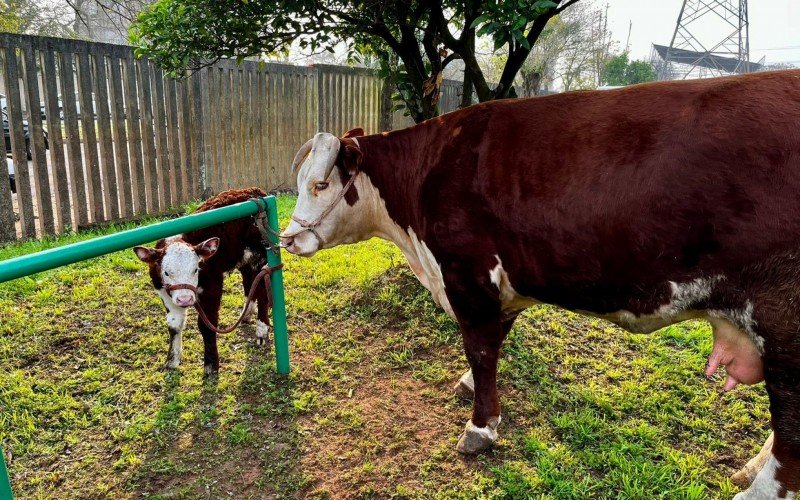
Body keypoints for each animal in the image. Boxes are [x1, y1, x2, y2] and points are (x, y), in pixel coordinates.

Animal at [134, 188, 272, 376]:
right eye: (166, 272)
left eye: (196, 269)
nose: (185, 299)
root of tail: (254, 191)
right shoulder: (164, 293)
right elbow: (174, 325)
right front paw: (172, 361)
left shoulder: (212, 287)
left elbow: (207, 325)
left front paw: (211, 365)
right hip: (243, 260)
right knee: (249, 282)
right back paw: (246, 314)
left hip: (260, 257)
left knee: (262, 290)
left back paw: (262, 331)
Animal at [282, 71, 800, 500]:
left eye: (321, 185)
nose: (287, 239)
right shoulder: (502, 284)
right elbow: (494, 342)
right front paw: (469, 387)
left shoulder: (468, 275)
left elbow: (481, 348)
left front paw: (481, 427)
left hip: (783, 321)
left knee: (791, 432)